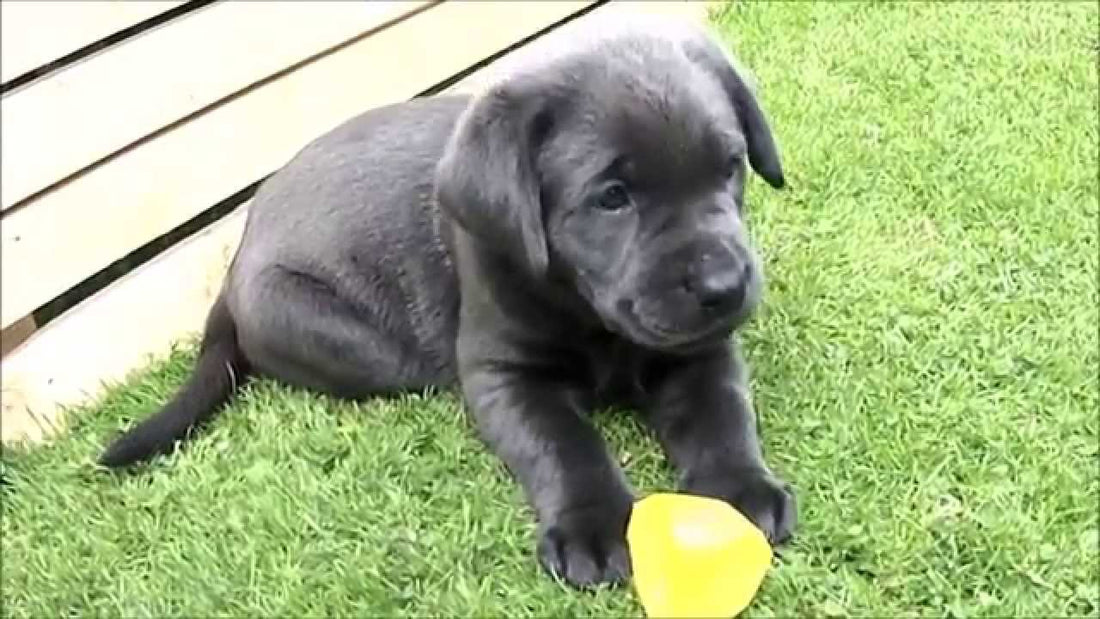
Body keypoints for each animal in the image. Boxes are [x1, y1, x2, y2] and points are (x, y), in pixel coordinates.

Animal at [99, 19, 796, 589]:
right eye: (612, 197)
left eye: (730, 167)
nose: (723, 286)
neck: (590, 317)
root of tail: (235, 261)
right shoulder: (504, 375)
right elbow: (563, 443)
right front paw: (592, 527)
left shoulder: (701, 352)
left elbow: (722, 414)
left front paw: (742, 490)